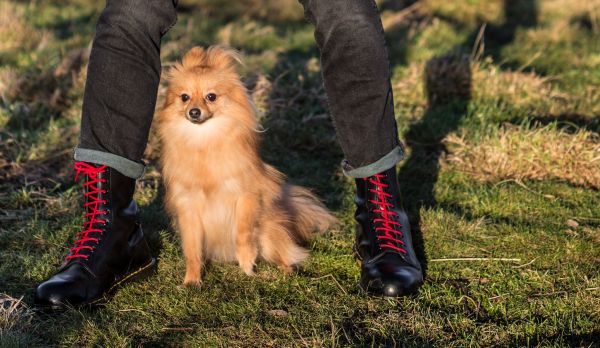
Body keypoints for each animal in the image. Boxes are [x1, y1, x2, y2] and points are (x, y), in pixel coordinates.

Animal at [156, 45, 338, 286]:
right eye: (184, 97)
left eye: (211, 97)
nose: (194, 111)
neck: (204, 142)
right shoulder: (188, 208)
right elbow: (192, 248)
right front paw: (192, 280)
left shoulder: (246, 196)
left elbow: (242, 231)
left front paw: (246, 261)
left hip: (268, 234)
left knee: (283, 254)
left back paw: (286, 271)